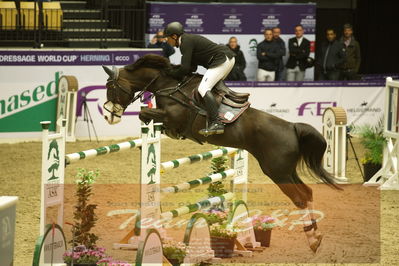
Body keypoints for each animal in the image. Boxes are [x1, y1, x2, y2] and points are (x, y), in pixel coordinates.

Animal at [101, 53, 342, 252]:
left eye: (110, 87)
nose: (109, 116)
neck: (169, 86)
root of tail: (292, 127)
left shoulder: (172, 117)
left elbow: (145, 114)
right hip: (287, 171)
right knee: (307, 193)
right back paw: (315, 237)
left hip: (277, 172)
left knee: (300, 198)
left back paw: (312, 239)